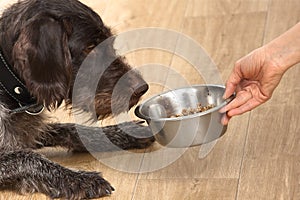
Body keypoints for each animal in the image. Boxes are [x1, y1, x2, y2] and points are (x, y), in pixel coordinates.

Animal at [0, 0, 155, 198]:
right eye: (89, 48)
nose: (142, 88)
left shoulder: (28, 131)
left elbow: (69, 128)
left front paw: (121, 133)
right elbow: (28, 157)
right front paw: (78, 179)